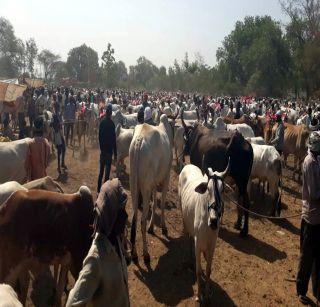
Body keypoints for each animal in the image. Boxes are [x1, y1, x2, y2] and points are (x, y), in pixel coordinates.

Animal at [129, 114, 172, 264]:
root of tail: (139, 139)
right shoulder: (166, 177)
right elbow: (162, 203)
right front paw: (163, 227)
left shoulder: (153, 184)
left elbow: (154, 203)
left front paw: (152, 226)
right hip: (145, 187)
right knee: (142, 220)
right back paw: (146, 254)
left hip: (134, 186)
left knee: (135, 218)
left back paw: (135, 253)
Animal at [179, 165, 229, 302]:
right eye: (208, 189)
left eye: (222, 190)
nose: (214, 221)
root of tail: (188, 165)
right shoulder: (198, 244)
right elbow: (198, 271)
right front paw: (199, 294)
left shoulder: (212, 246)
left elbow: (208, 270)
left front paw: (207, 293)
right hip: (184, 217)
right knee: (187, 237)